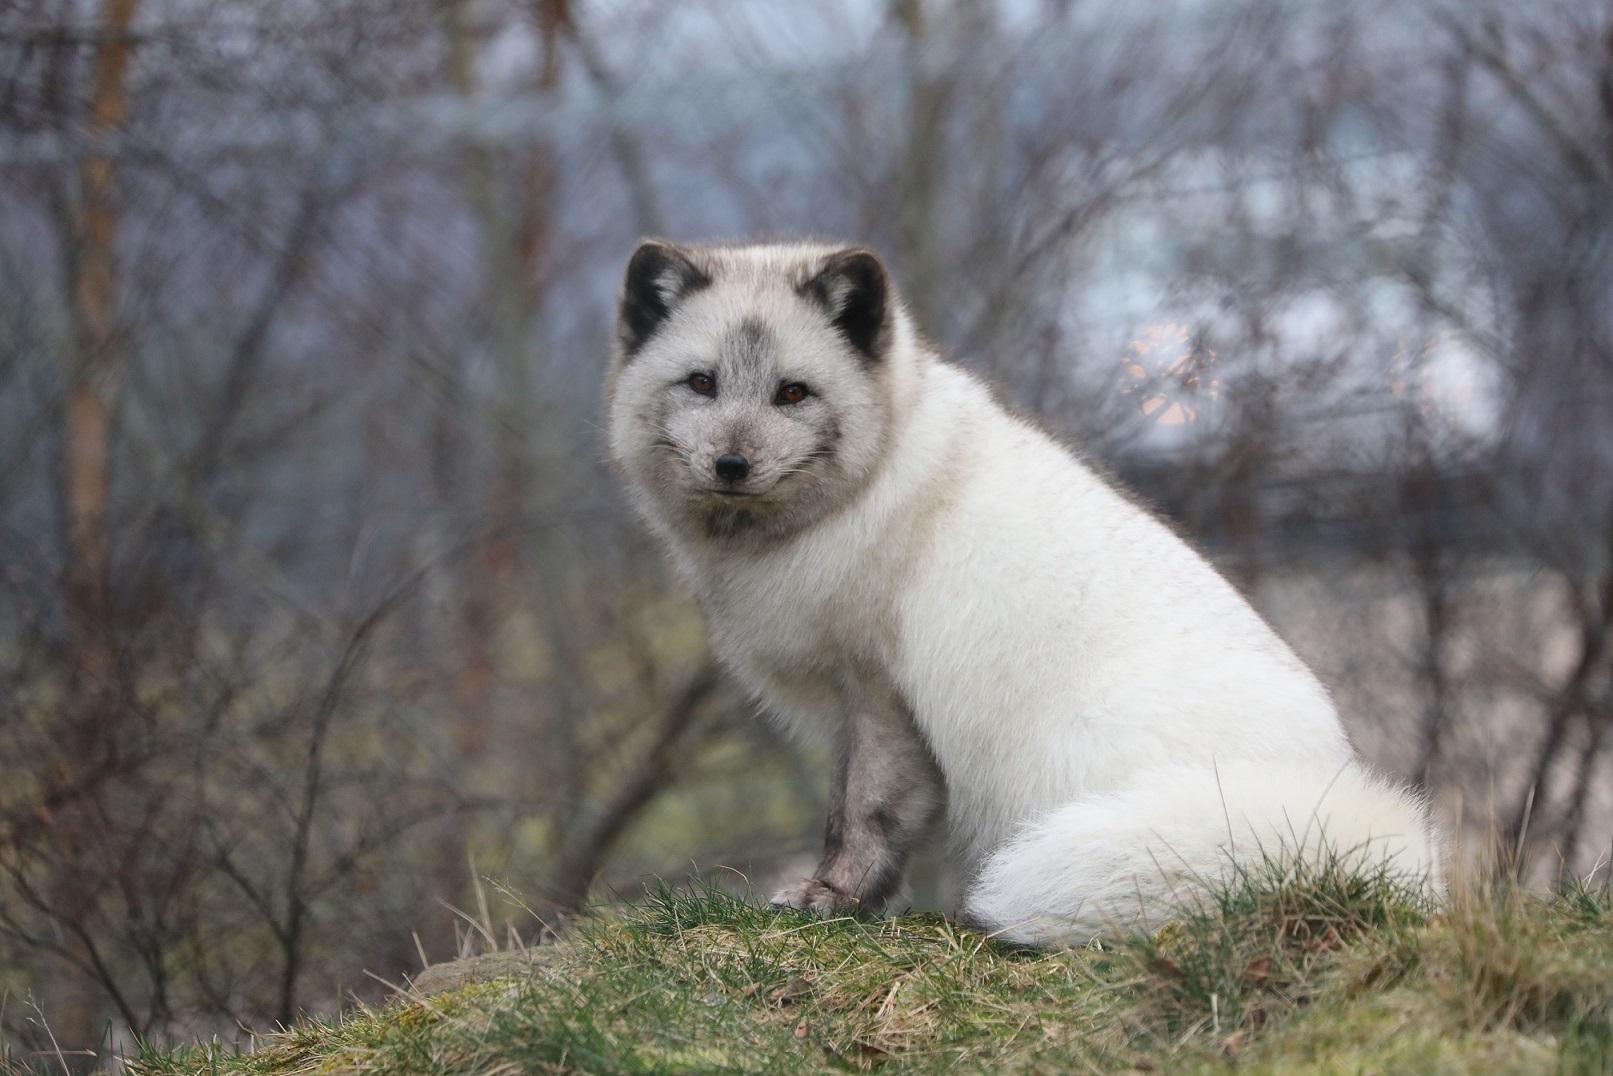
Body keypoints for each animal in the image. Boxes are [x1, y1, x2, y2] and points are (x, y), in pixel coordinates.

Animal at [606, 237, 1451, 942]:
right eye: (701, 384)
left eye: (791, 394)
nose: (732, 465)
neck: (865, 491)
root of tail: (1337, 826)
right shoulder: (854, 705)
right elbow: (846, 812)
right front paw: (855, 903)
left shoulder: (882, 694)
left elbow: (864, 816)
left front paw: (834, 900)